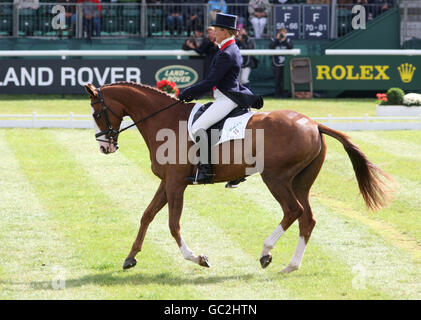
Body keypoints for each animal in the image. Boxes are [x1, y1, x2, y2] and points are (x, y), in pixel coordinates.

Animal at [85, 82, 390, 272]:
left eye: (97, 113)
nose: (104, 147)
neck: (166, 121)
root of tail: (313, 124)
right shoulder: (167, 182)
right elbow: (147, 216)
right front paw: (130, 257)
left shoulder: (175, 184)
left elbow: (173, 225)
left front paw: (198, 258)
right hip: (299, 183)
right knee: (308, 219)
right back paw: (291, 266)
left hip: (276, 178)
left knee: (294, 211)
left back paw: (266, 252)